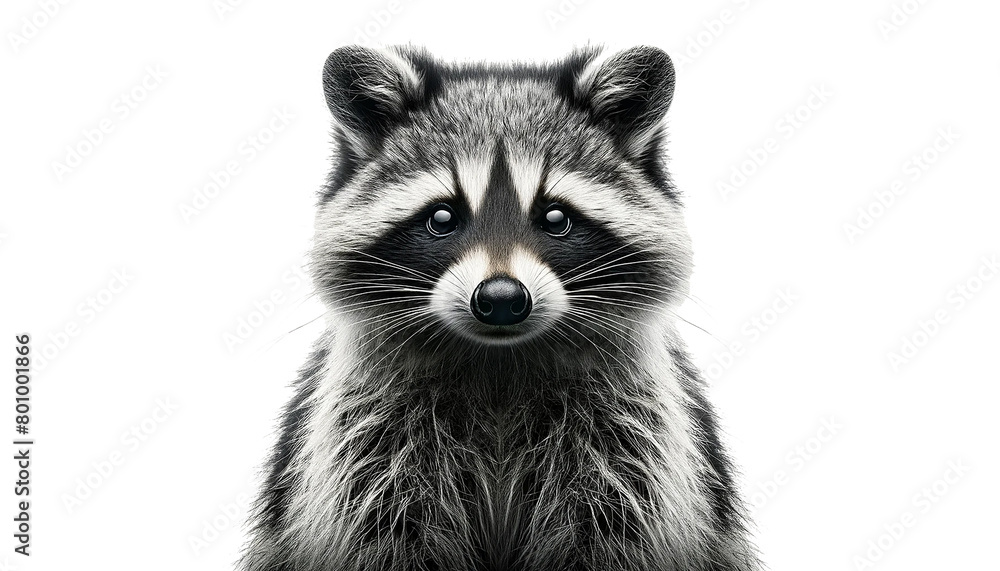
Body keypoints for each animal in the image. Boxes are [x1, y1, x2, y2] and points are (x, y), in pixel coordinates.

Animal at [240, 45, 761, 571]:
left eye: (556, 217)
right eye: (441, 217)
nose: (501, 300)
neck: (499, 364)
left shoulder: (632, 442)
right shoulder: (366, 443)